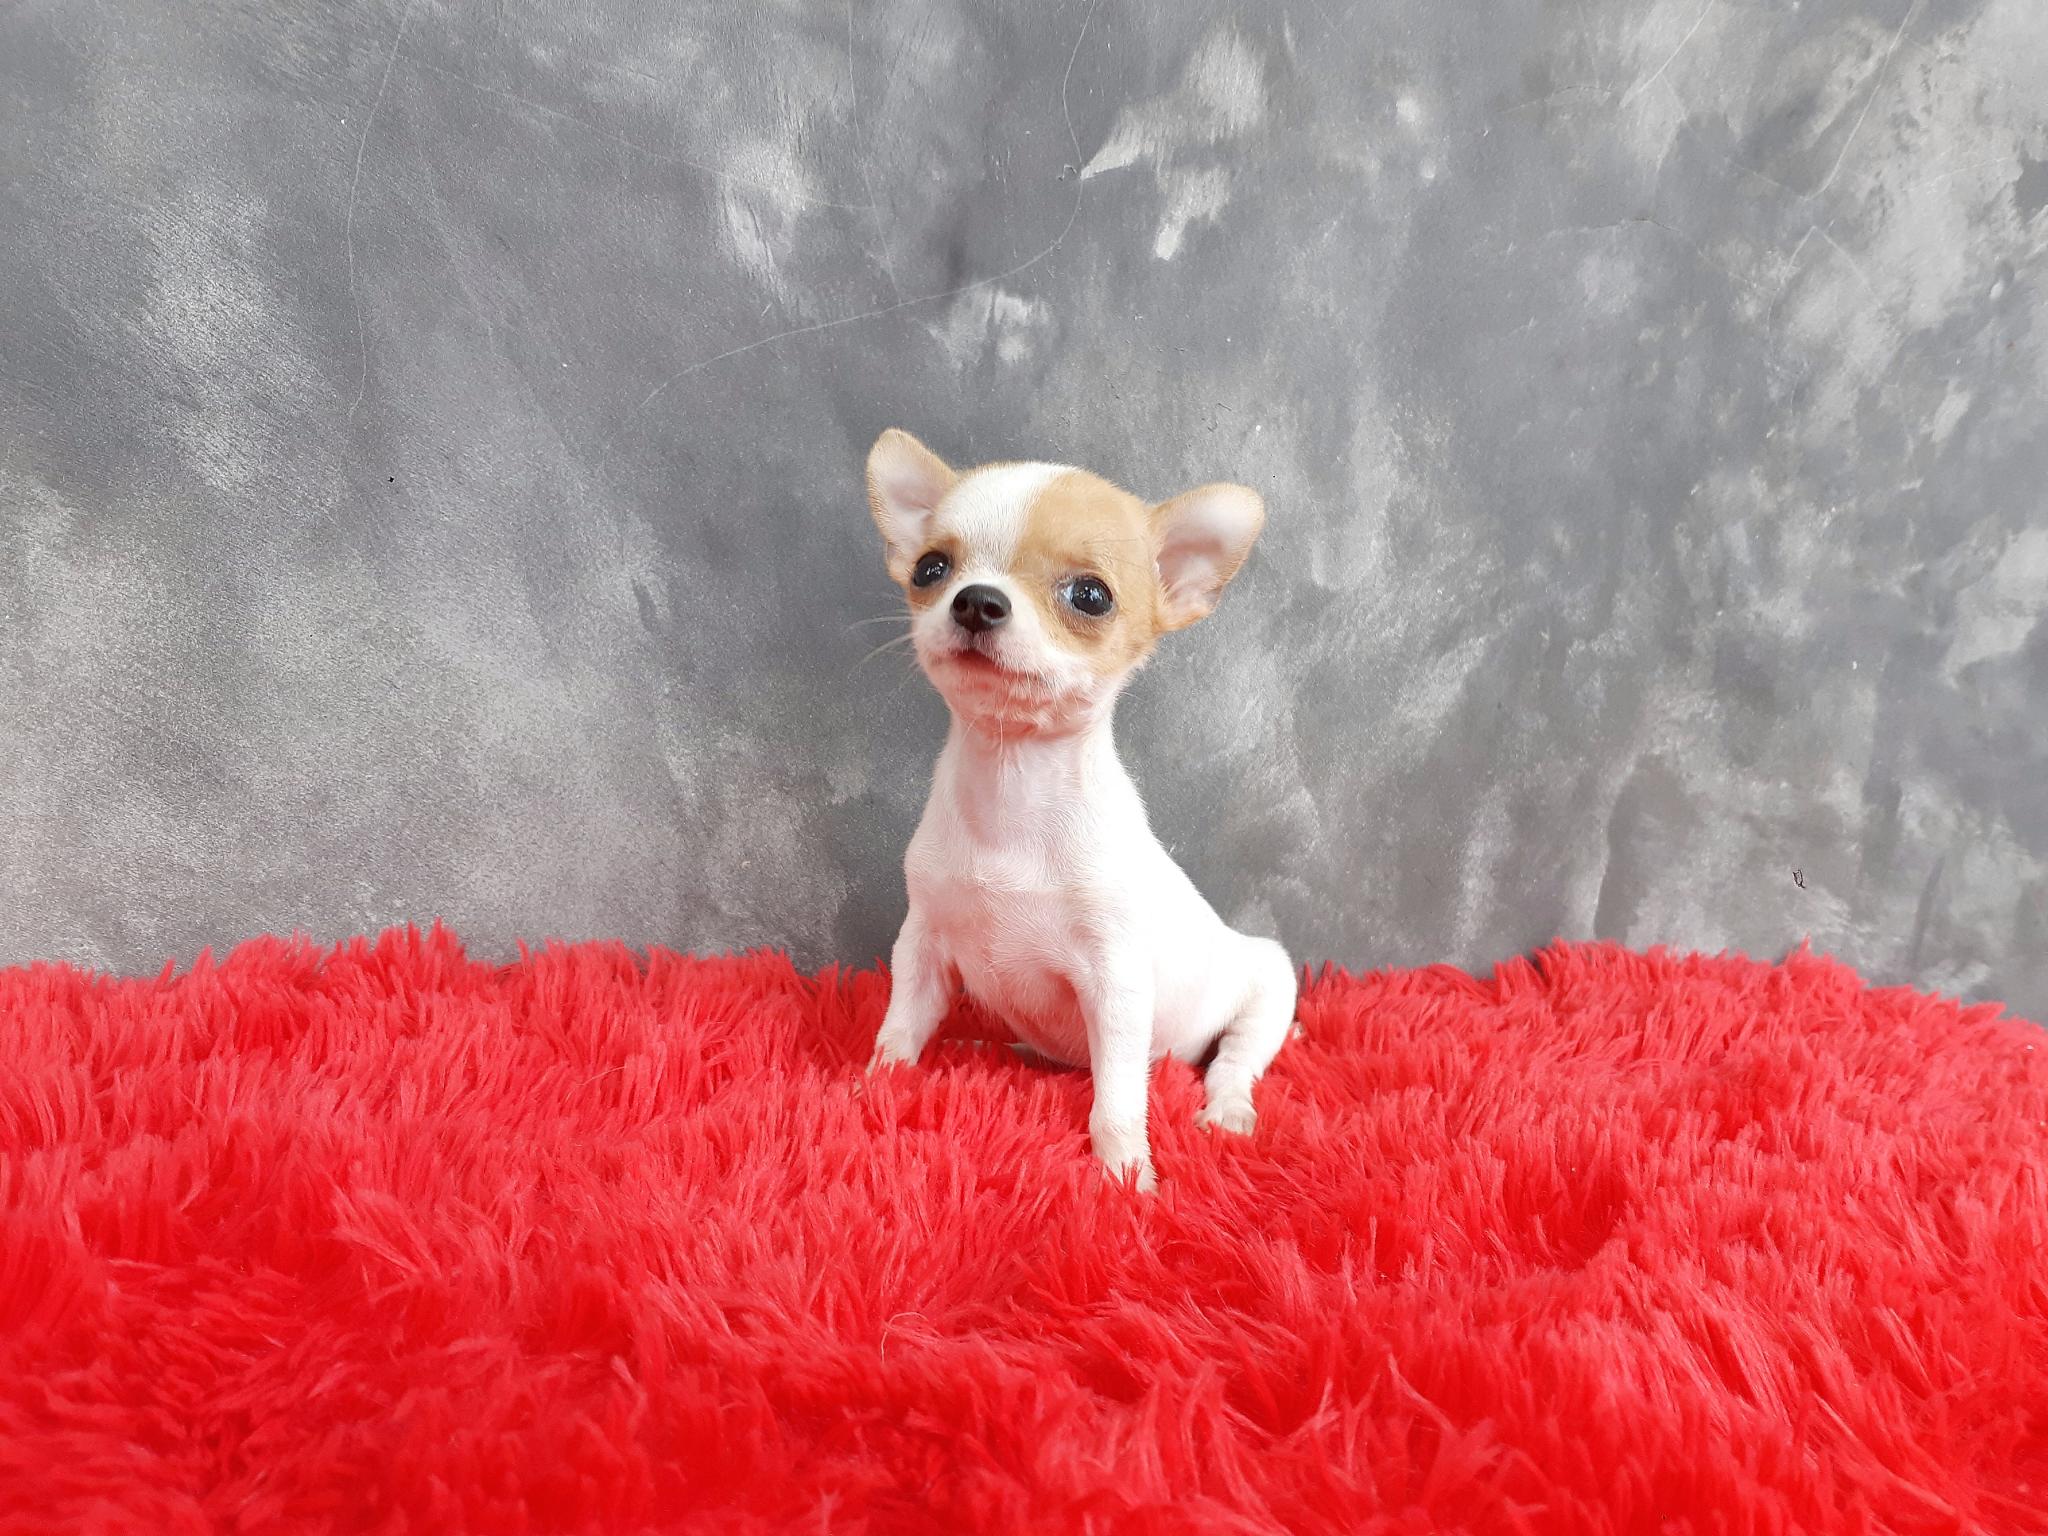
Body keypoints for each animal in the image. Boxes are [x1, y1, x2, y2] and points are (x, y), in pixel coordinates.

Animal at [862, 428, 1297, 1190]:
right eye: (930, 568)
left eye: (1090, 595)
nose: (976, 601)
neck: (1010, 783)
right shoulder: (922, 948)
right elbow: (900, 1029)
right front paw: (873, 1087)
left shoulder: (1116, 986)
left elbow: (1117, 1098)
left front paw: (1124, 1173)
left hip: (1268, 986)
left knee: (1232, 1065)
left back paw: (1226, 1110)